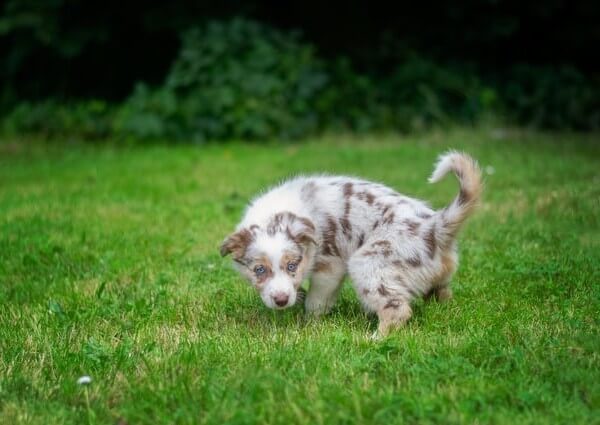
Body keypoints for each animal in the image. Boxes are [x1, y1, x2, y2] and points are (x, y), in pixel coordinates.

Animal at [220, 151, 482, 336]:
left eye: (292, 266)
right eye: (259, 270)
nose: (282, 301)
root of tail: (435, 225)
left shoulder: (330, 267)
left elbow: (317, 301)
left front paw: (308, 324)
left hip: (367, 264)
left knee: (397, 309)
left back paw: (373, 339)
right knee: (442, 293)